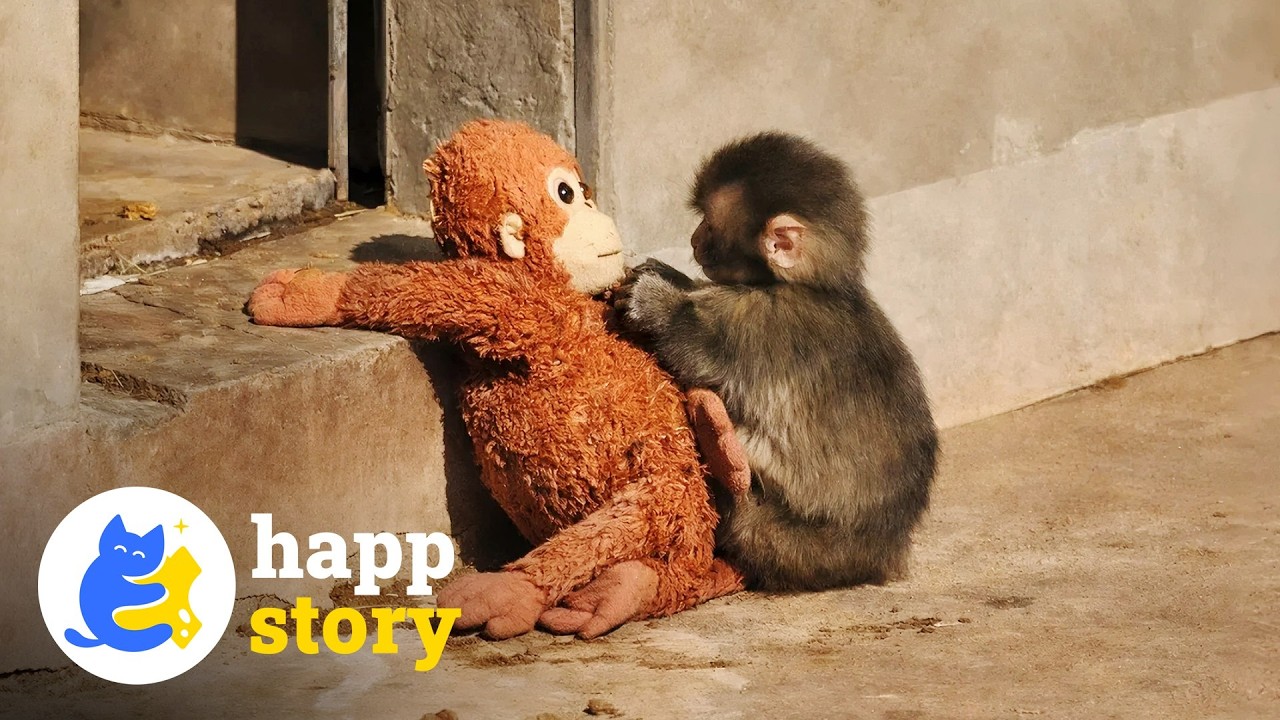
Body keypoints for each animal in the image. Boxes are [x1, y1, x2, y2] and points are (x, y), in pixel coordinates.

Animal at [614, 132, 938, 590]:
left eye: (708, 224)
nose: (693, 239)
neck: (811, 285)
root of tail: (882, 550)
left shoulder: (762, 324)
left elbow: (695, 347)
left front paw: (657, 302)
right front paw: (671, 278)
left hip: (788, 544)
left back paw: (721, 455)